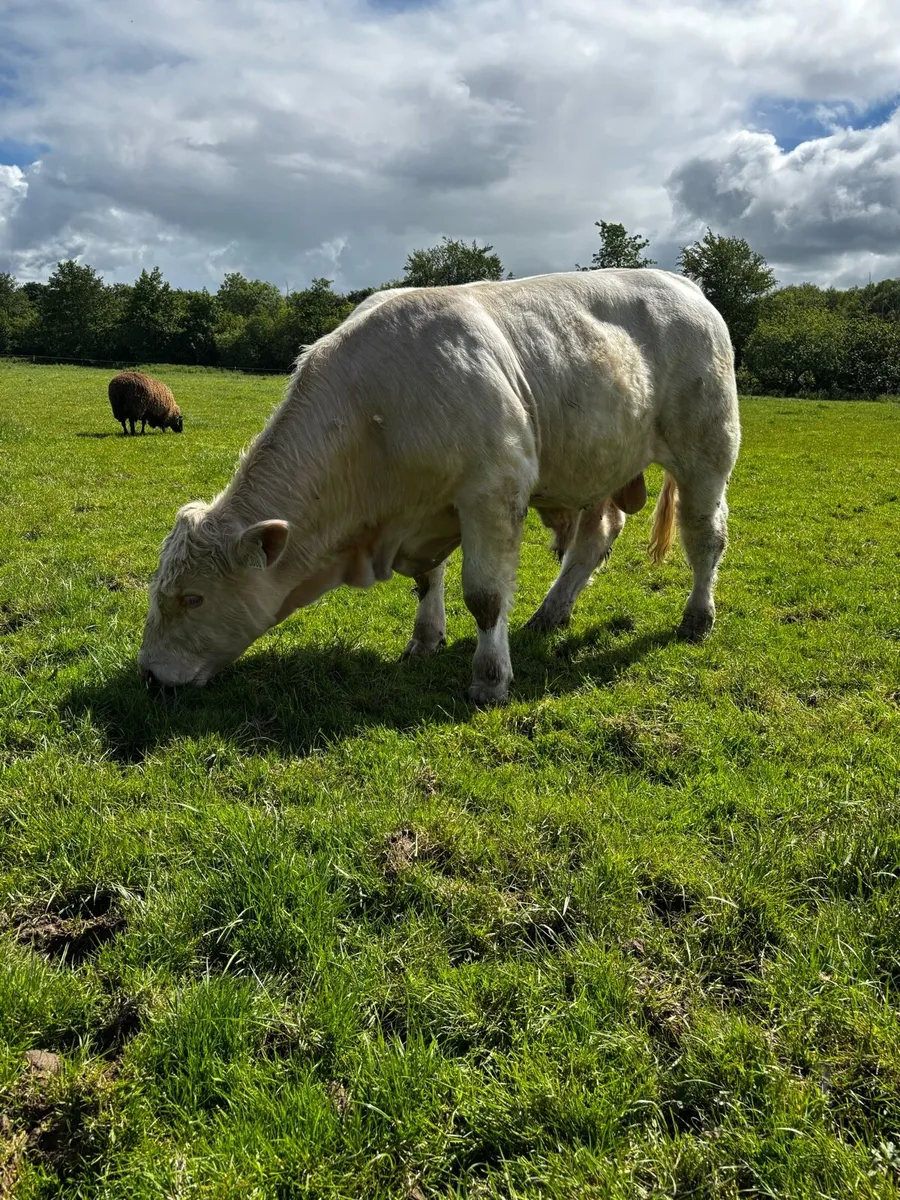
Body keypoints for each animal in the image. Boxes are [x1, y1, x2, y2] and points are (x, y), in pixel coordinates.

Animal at [138, 269, 740, 703]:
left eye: (193, 597)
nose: (148, 676)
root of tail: (683, 283)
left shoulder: (492, 491)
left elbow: (486, 597)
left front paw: (490, 679)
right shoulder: (425, 510)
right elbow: (428, 580)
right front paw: (425, 640)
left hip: (707, 453)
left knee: (705, 537)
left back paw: (697, 617)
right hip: (595, 466)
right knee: (595, 538)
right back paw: (551, 613)